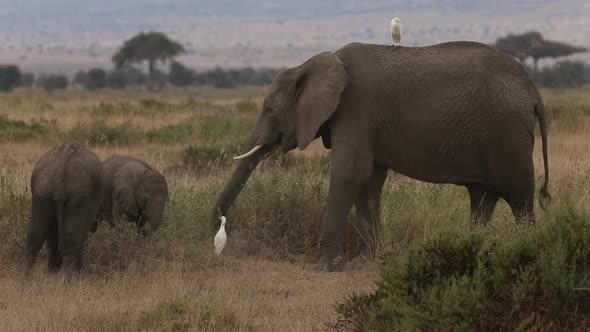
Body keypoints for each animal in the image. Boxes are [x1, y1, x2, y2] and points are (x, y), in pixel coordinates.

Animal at [26, 141, 103, 274]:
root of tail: (62, 164)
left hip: (42, 190)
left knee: (35, 234)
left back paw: (26, 276)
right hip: (78, 195)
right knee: (71, 237)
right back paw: (68, 277)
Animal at [212, 40, 552, 270]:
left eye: (269, 108)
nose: (217, 226)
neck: (310, 64)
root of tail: (534, 93)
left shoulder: (355, 109)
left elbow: (350, 173)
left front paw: (325, 266)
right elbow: (369, 182)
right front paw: (366, 262)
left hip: (508, 136)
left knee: (521, 201)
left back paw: (526, 251)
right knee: (482, 199)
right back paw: (474, 250)